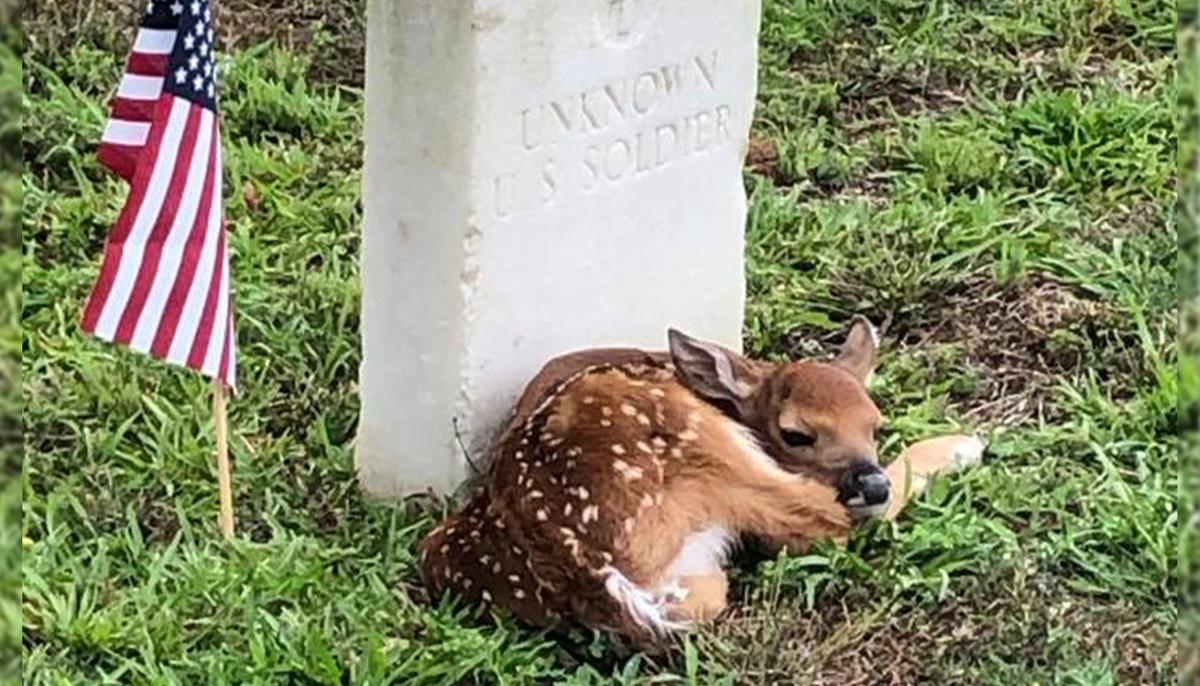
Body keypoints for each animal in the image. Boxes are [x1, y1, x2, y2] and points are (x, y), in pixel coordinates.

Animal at [418, 318, 984, 646]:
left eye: (874, 424)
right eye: (796, 433)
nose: (870, 482)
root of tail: (581, 563)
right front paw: (964, 444)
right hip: (706, 446)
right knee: (824, 521)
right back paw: (960, 446)